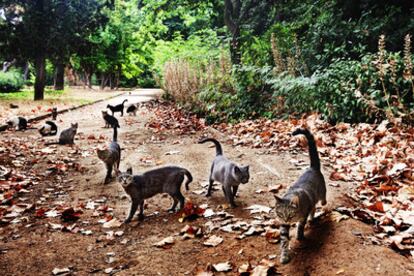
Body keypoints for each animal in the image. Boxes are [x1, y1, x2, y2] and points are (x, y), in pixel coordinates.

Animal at [274, 128, 328, 264]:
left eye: (290, 214)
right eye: (280, 214)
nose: (286, 220)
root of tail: (313, 168)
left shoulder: (303, 214)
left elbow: (300, 226)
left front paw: (299, 235)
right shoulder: (283, 225)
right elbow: (284, 241)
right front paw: (284, 256)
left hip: (321, 192)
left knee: (322, 199)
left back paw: (322, 205)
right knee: (314, 208)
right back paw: (312, 218)